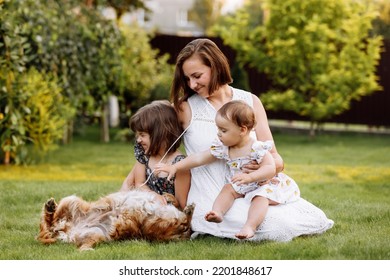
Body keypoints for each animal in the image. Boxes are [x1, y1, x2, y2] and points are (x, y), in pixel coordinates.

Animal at [36, 189, 195, 250]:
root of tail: (65, 231)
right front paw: (169, 197)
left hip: (96, 233)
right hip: (71, 201)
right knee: (49, 222)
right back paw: (50, 207)